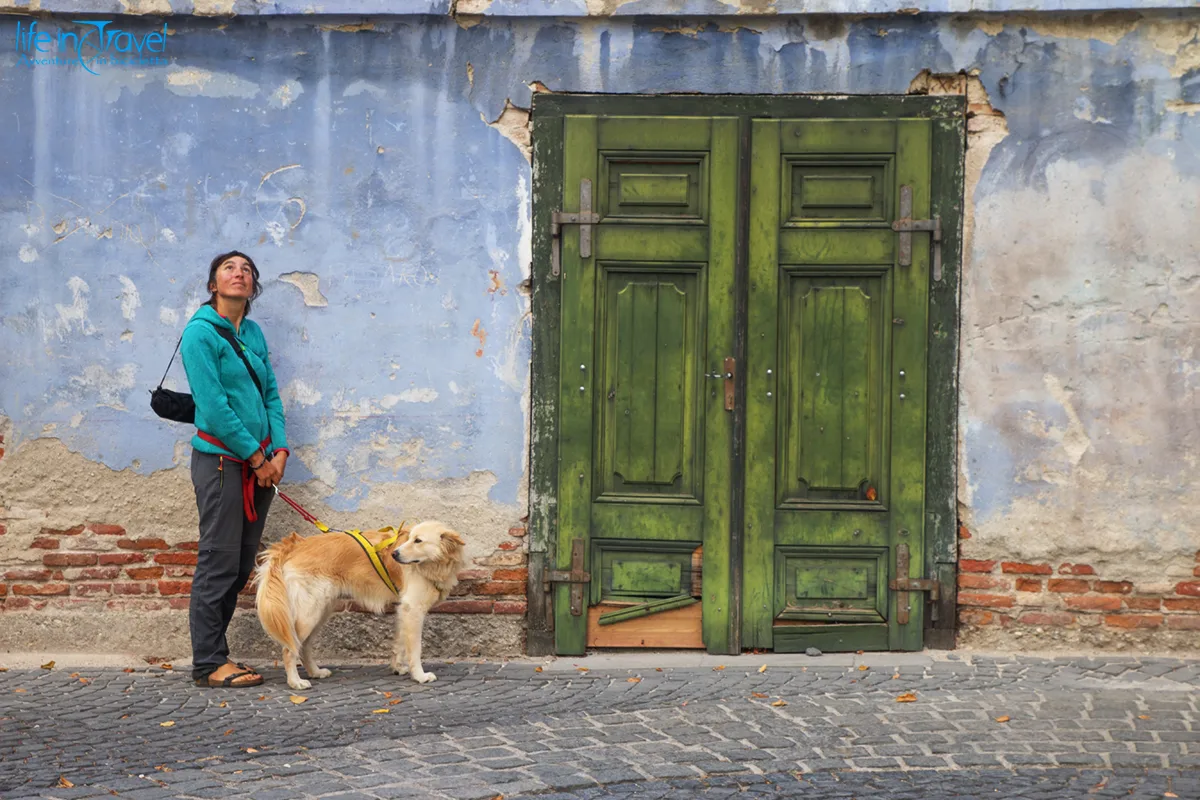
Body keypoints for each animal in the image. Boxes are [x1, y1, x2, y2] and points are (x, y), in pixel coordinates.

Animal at [255, 520, 465, 690]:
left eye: (418, 541)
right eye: (411, 539)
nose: (394, 554)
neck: (435, 565)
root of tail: (294, 546)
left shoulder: (403, 610)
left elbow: (399, 643)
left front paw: (397, 667)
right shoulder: (413, 610)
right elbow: (414, 649)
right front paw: (420, 676)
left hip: (321, 612)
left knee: (304, 646)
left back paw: (315, 672)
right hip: (310, 614)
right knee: (289, 649)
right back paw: (295, 682)